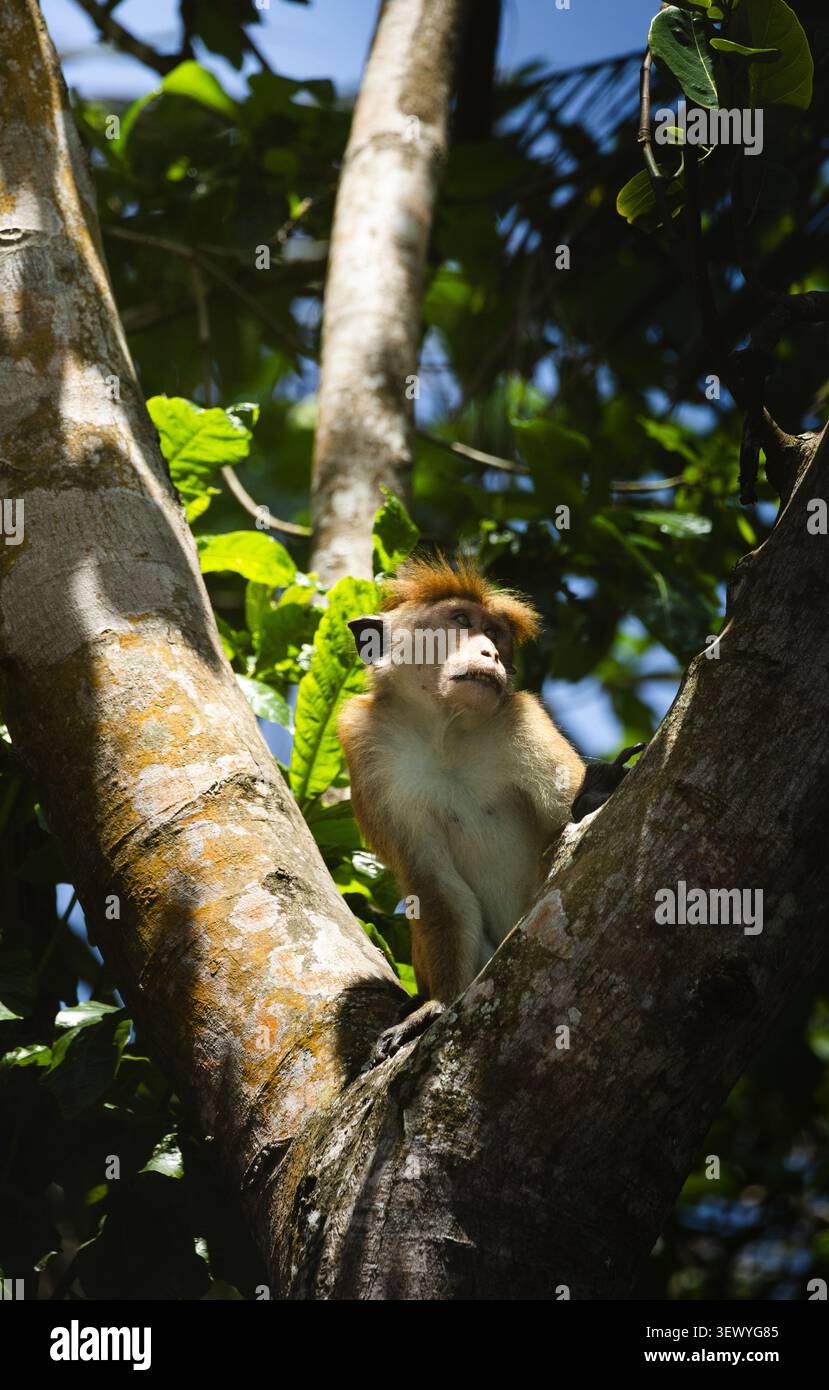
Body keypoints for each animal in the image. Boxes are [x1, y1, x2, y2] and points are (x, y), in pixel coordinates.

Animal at [338, 554, 639, 1063]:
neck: (445, 732)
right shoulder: (368, 748)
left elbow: (569, 832)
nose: (490, 655)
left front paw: (595, 794)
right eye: (460, 621)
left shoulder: (522, 721)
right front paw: (435, 1004)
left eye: (495, 634)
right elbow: (434, 884)